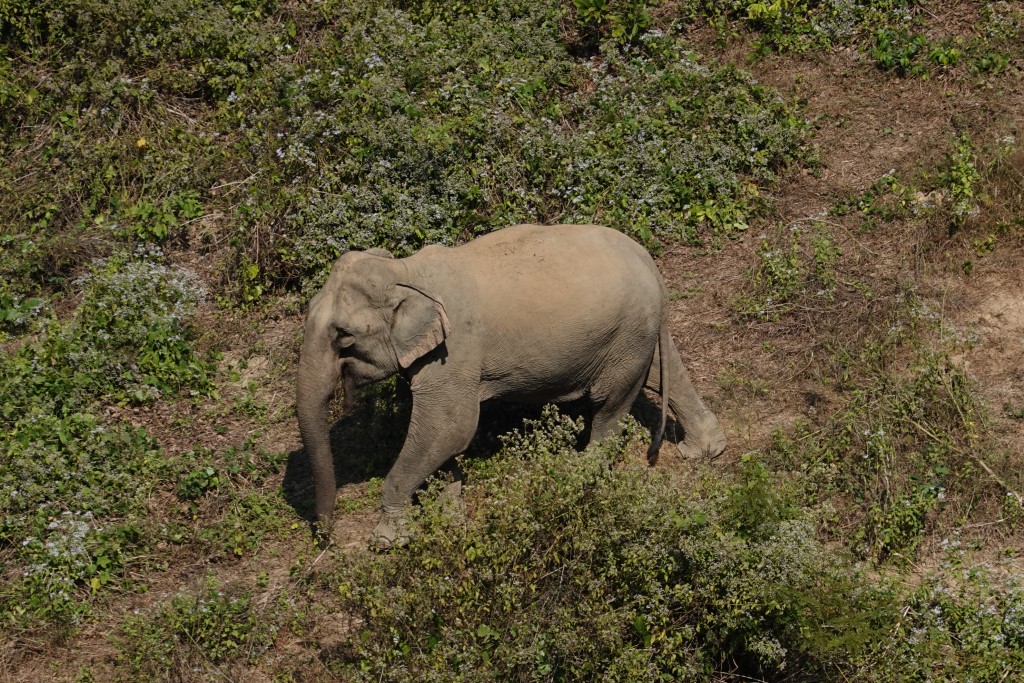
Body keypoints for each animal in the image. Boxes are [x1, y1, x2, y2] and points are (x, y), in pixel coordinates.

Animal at [296, 223, 726, 547]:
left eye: (344, 336)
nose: (328, 538)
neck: (407, 271)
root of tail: (649, 262)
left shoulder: (454, 353)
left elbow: (449, 427)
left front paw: (387, 540)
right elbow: (443, 438)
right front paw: (451, 519)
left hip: (624, 335)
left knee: (609, 404)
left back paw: (578, 477)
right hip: (638, 329)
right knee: (663, 372)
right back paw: (703, 451)